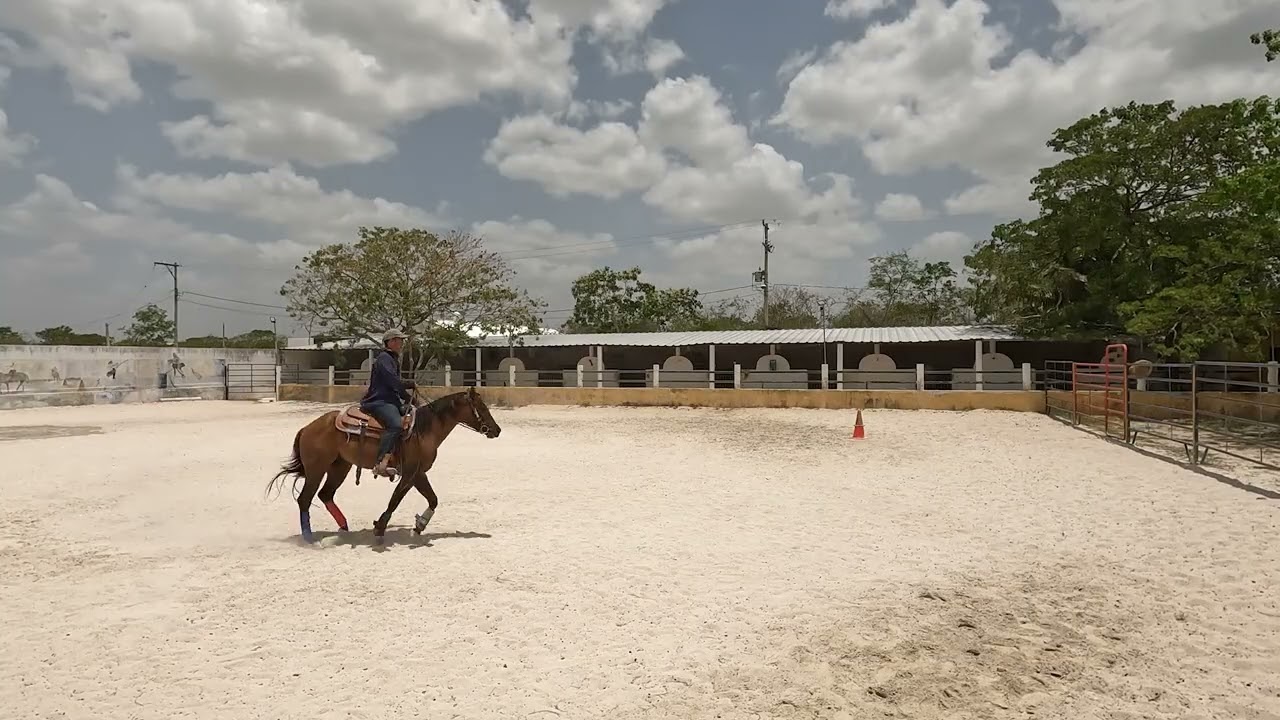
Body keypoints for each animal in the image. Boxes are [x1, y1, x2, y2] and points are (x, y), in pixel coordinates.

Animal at [267, 386, 501, 545]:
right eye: (481, 407)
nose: (497, 430)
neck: (424, 430)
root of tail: (307, 428)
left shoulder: (418, 474)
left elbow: (433, 499)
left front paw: (419, 525)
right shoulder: (409, 474)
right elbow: (395, 501)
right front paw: (380, 528)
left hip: (340, 467)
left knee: (326, 495)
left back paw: (344, 527)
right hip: (317, 469)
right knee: (305, 499)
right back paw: (309, 538)